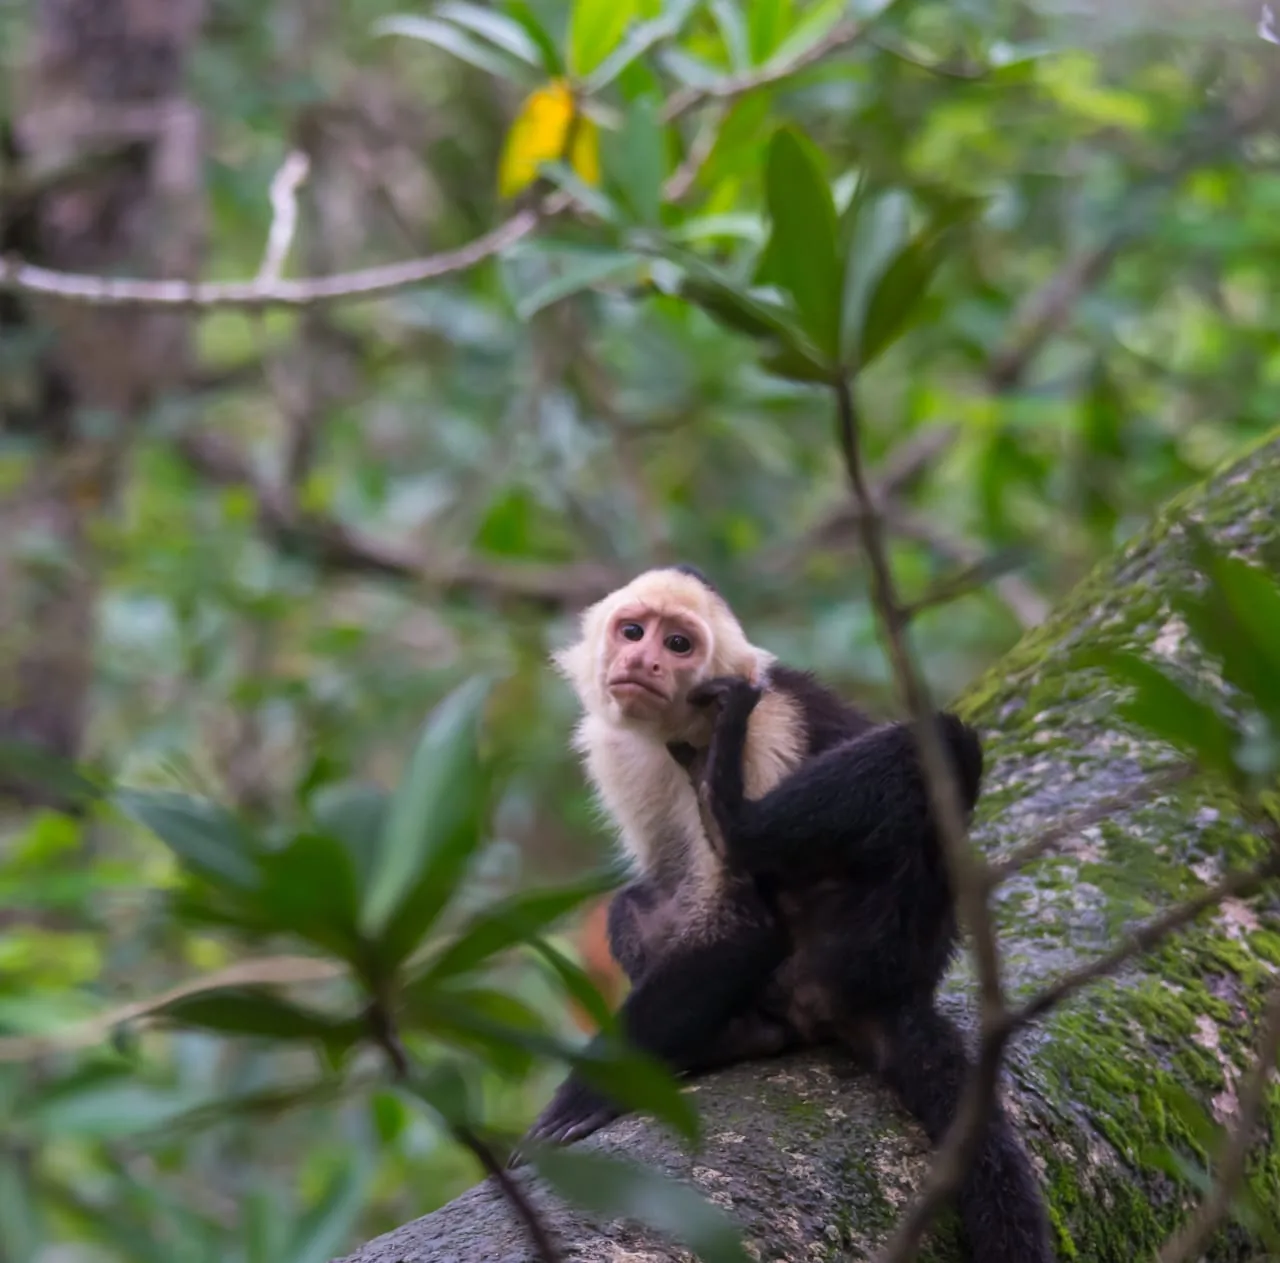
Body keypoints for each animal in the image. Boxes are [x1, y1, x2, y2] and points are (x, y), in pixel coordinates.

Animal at [515, 564, 1054, 1263]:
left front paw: (593, 1088)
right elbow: (667, 890)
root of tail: (903, 991)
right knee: (635, 902)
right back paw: (737, 1034)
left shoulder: (764, 722)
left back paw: (735, 823)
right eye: (632, 631)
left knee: (945, 748)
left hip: (870, 935)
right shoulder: (614, 751)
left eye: (679, 644)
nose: (643, 660)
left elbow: (745, 924)